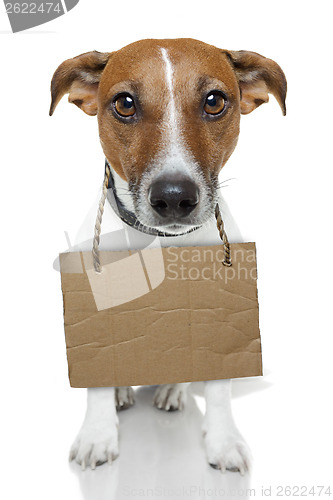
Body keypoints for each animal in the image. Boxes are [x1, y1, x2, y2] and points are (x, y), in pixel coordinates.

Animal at [49, 38, 286, 472]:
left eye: (214, 101)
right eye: (125, 103)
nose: (174, 197)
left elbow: (219, 384)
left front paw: (224, 442)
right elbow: (95, 377)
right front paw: (97, 436)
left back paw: (172, 390)